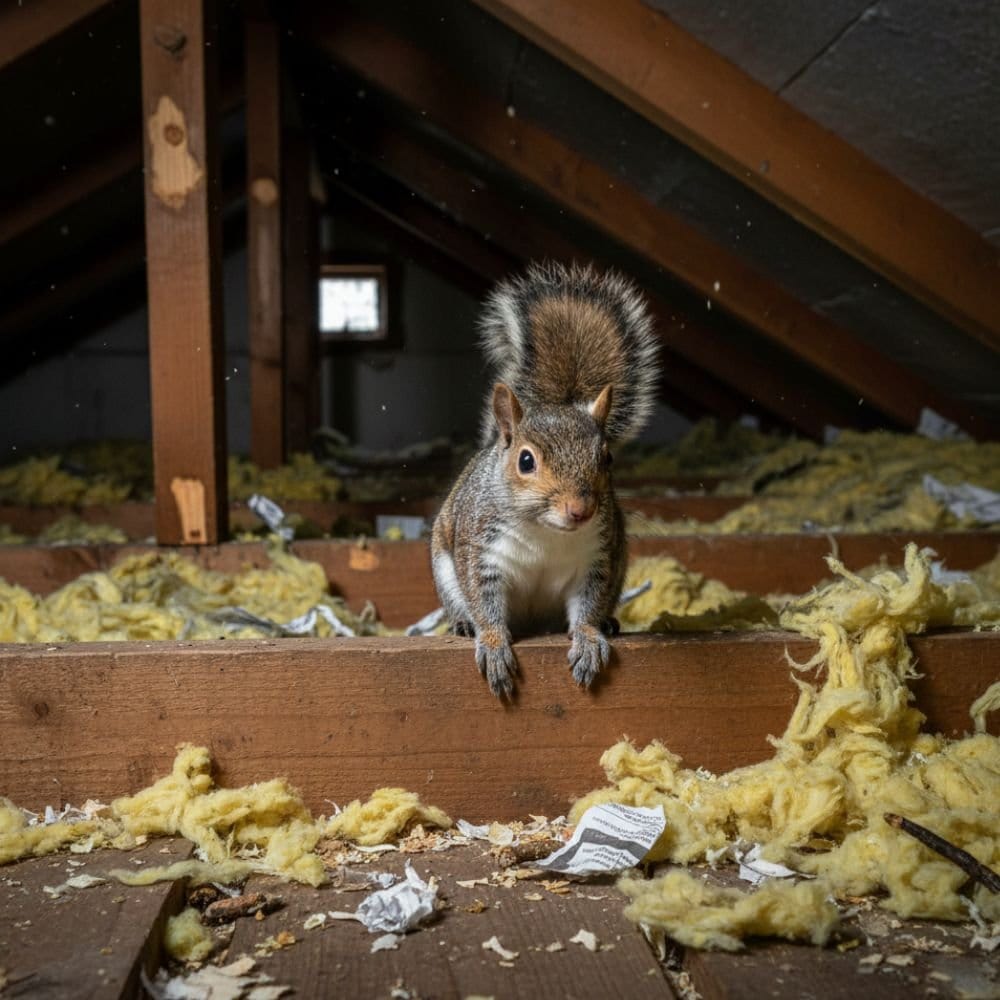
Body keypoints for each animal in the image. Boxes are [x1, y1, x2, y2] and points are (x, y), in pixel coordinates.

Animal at [431, 261, 660, 698]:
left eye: (607, 457)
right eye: (525, 461)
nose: (580, 510)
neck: (546, 533)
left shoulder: (597, 560)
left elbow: (588, 605)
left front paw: (588, 638)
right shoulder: (481, 552)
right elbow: (485, 602)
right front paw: (492, 644)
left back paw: (609, 623)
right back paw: (463, 623)